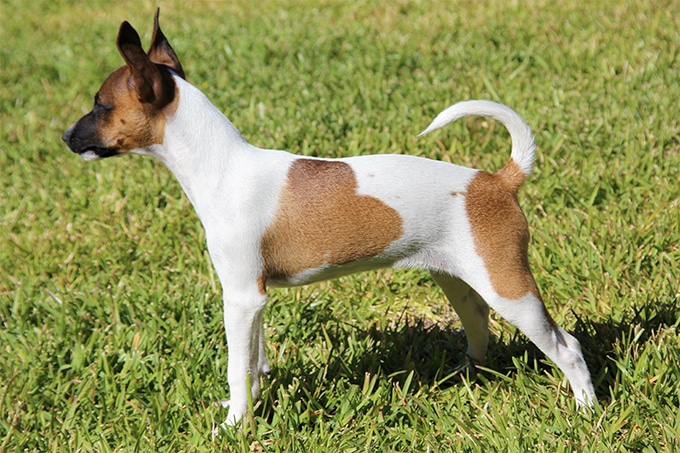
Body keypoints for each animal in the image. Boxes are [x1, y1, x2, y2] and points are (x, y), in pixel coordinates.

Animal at [62, 9, 596, 428]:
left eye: (100, 105)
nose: (65, 137)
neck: (222, 165)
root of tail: (497, 180)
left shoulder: (240, 298)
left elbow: (238, 366)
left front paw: (233, 426)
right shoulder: (254, 301)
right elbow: (255, 363)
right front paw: (249, 407)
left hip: (509, 287)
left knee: (566, 346)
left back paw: (586, 411)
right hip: (459, 280)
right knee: (479, 325)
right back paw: (466, 379)